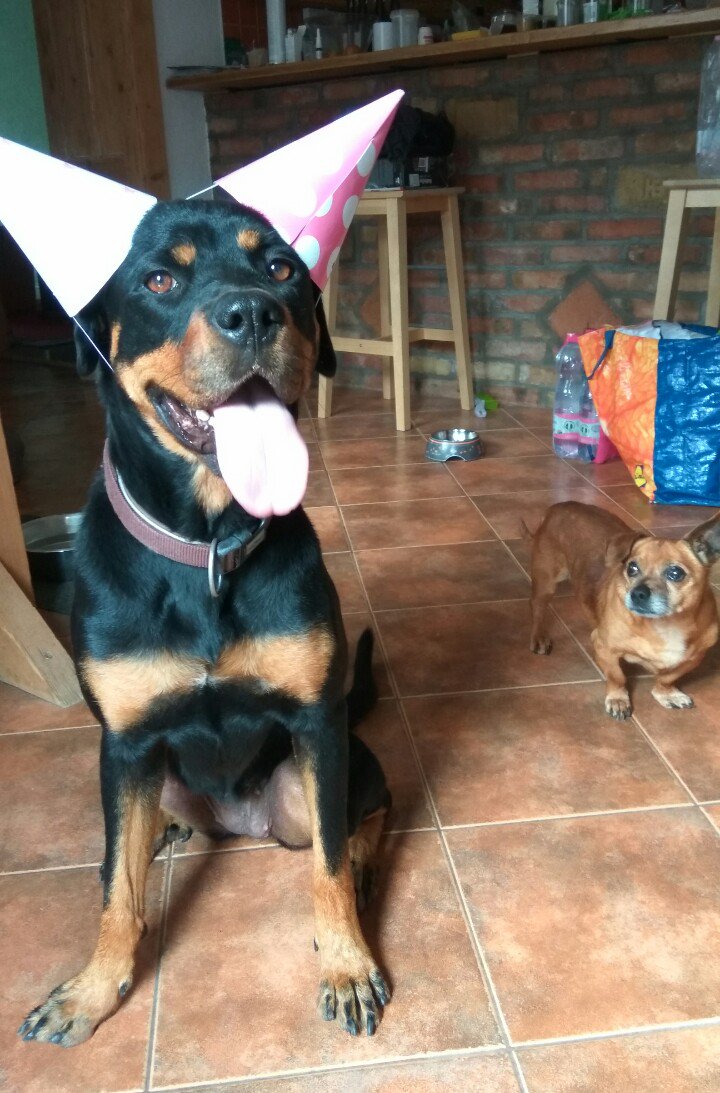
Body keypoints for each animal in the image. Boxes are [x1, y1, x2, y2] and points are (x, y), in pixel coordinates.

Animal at [18, 199, 391, 1047]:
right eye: (160, 279)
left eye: (281, 267)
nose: (253, 312)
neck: (206, 548)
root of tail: (236, 818)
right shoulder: (124, 744)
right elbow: (115, 890)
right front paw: (93, 987)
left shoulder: (319, 724)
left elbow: (327, 867)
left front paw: (347, 962)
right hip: (149, 776)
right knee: (132, 837)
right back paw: (164, 830)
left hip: (323, 775)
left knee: (362, 822)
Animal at [527, 501, 720, 720]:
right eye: (632, 568)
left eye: (675, 573)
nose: (638, 593)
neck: (665, 625)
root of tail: (560, 505)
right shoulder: (604, 647)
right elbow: (617, 676)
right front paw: (618, 700)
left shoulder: (693, 658)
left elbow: (667, 677)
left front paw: (666, 693)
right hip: (546, 581)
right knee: (537, 607)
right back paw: (539, 637)